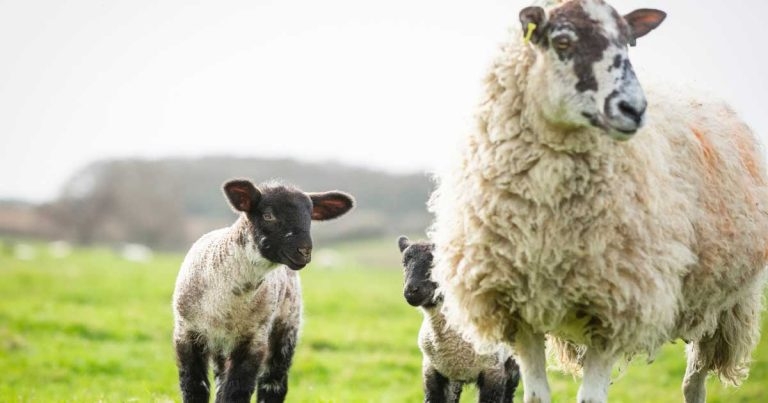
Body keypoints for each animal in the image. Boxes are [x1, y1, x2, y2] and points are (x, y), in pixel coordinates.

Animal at [172, 178, 354, 403]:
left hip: (286, 327)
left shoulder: (253, 340)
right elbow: (194, 387)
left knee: (273, 383)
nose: (304, 251)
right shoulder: (186, 334)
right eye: (268, 215)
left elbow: (237, 391)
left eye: (310, 217)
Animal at [427, 1, 768, 402]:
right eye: (562, 41)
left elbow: (591, 397)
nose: (633, 109)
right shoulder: (519, 313)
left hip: (726, 307)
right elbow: (536, 395)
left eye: (629, 42)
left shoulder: (615, 310)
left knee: (693, 382)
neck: (544, 222)